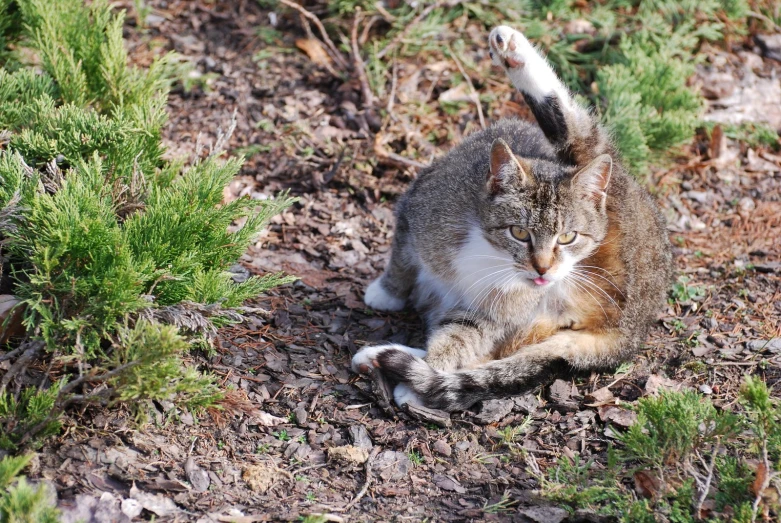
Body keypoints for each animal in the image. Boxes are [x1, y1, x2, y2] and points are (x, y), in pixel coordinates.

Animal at [348, 26, 672, 414]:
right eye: (519, 232)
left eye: (568, 237)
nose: (543, 269)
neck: (489, 251)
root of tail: (632, 331)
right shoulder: (416, 210)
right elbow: (402, 260)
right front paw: (388, 292)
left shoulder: (490, 315)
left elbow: (457, 340)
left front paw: (421, 383)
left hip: (621, 223)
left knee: (582, 135)